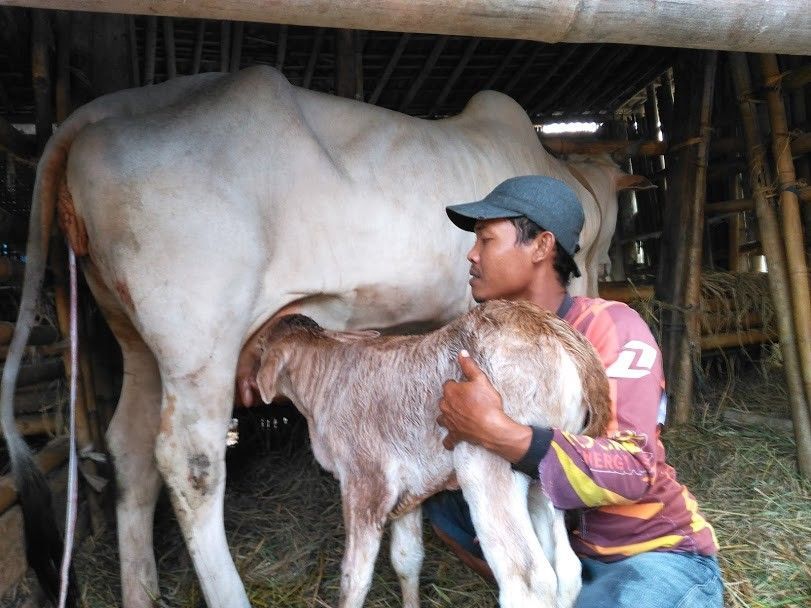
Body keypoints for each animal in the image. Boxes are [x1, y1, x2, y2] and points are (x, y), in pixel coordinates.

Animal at [0, 64, 648, 604]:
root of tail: (98, 114)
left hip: (136, 336)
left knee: (130, 449)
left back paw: (140, 591)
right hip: (198, 337)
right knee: (190, 459)